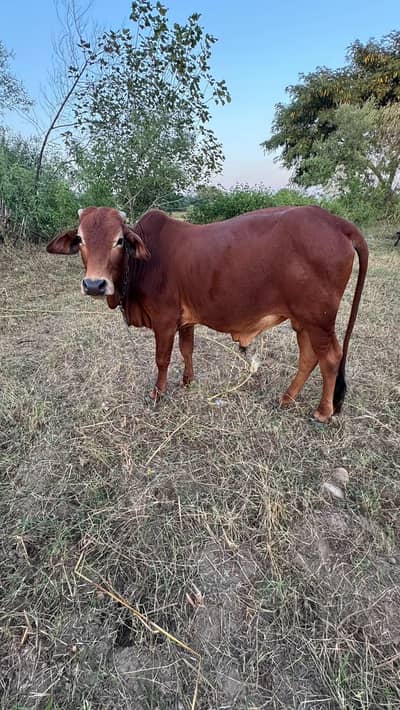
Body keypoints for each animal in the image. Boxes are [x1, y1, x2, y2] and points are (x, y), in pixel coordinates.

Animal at [46, 205, 368, 422]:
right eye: (80, 239)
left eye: (119, 240)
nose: (94, 284)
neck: (142, 264)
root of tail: (337, 223)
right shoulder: (185, 320)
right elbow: (187, 349)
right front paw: (188, 381)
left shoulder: (164, 319)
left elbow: (162, 359)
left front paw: (158, 393)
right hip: (303, 321)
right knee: (309, 357)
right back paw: (287, 398)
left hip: (319, 319)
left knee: (330, 358)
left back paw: (323, 411)